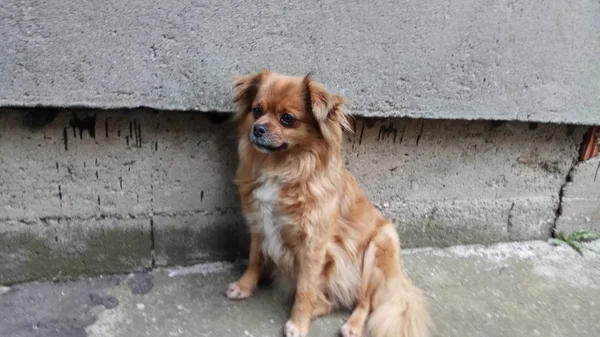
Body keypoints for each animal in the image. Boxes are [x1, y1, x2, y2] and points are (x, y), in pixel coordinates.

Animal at [226, 69, 432, 336]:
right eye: (257, 111)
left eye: (287, 118)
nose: (258, 128)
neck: (282, 167)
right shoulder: (259, 223)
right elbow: (254, 259)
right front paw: (244, 286)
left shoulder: (313, 244)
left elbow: (305, 288)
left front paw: (299, 322)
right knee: (331, 301)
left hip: (380, 245)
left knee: (364, 302)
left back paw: (350, 325)